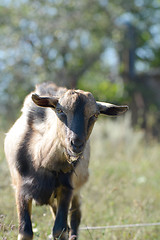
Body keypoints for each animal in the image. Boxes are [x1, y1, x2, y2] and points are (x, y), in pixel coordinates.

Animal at [4, 81, 128, 239]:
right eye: (59, 110)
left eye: (95, 114)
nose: (76, 144)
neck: (41, 160)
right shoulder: (21, 189)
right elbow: (25, 231)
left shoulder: (66, 188)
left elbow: (60, 229)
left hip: (76, 190)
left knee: (75, 217)